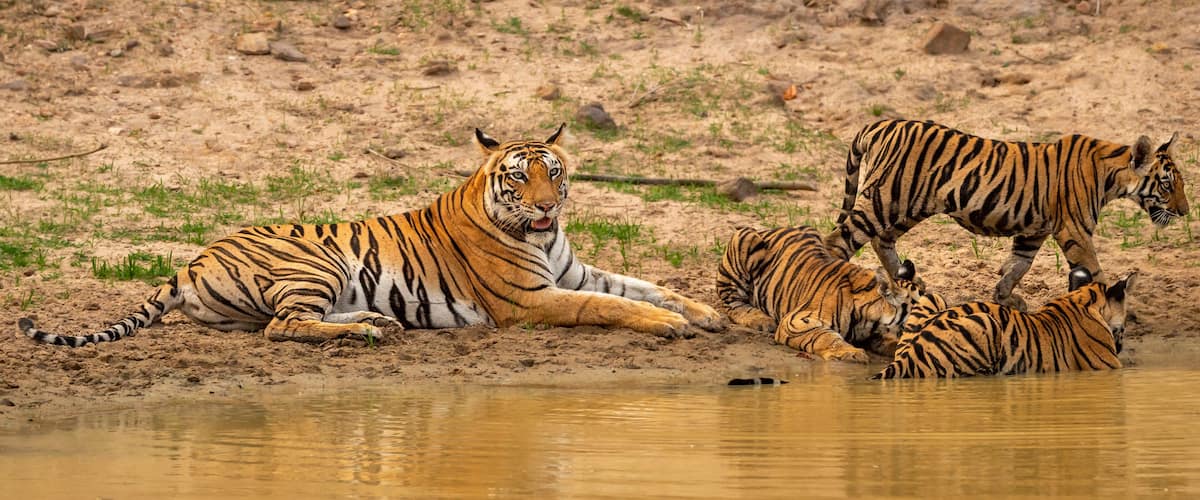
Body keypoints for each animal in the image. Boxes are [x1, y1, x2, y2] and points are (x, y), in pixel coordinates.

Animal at [17, 125, 727, 347]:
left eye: (553, 173)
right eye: (519, 179)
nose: (548, 208)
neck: (542, 238)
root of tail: (190, 261)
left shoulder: (574, 271)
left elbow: (647, 285)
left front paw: (706, 313)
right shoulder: (533, 298)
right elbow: (608, 304)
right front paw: (669, 325)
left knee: (280, 322)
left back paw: (376, 323)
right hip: (317, 260)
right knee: (283, 328)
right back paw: (364, 332)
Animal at [716, 225, 928, 363]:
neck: (872, 318)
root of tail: (770, 229)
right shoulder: (796, 322)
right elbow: (825, 337)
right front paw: (850, 353)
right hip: (744, 241)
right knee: (732, 303)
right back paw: (761, 320)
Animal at [823, 119, 1187, 310]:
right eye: (1167, 184)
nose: (1184, 211)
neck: (1112, 175)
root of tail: (881, 123)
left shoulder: (1035, 231)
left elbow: (1019, 265)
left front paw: (1005, 298)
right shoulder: (1074, 230)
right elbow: (1095, 272)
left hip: (907, 207)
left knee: (881, 241)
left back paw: (912, 281)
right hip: (883, 200)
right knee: (837, 241)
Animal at [873, 267, 1134, 379]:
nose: (1121, 346)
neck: (1083, 298)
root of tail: (906, 357)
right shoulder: (1108, 365)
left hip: (933, 297)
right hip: (985, 322)